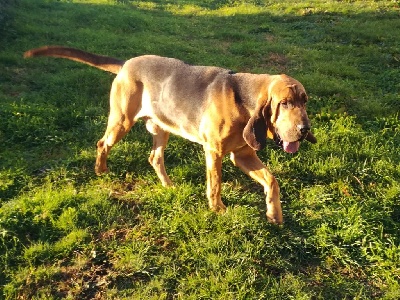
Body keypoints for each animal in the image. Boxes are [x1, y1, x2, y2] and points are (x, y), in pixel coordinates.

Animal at [25, 46, 318, 225]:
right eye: (285, 103)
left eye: (304, 101)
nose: (304, 130)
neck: (243, 100)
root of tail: (126, 63)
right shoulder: (214, 152)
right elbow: (215, 185)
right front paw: (218, 210)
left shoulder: (242, 155)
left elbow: (272, 181)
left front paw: (274, 213)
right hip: (121, 122)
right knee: (102, 143)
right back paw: (101, 170)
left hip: (160, 128)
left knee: (154, 158)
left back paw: (168, 186)